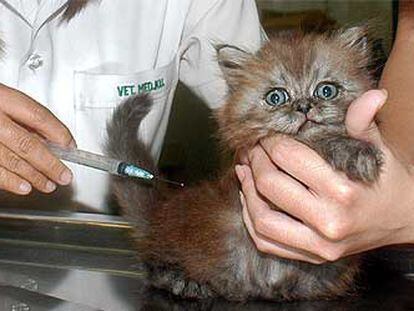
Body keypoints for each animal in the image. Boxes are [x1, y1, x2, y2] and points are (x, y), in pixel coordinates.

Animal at [106, 27, 382, 302]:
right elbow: (319, 141)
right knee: (151, 266)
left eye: (326, 91)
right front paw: (357, 154)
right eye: (276, 97)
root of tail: (160, 210)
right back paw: (183, 281)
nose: (304, 107)